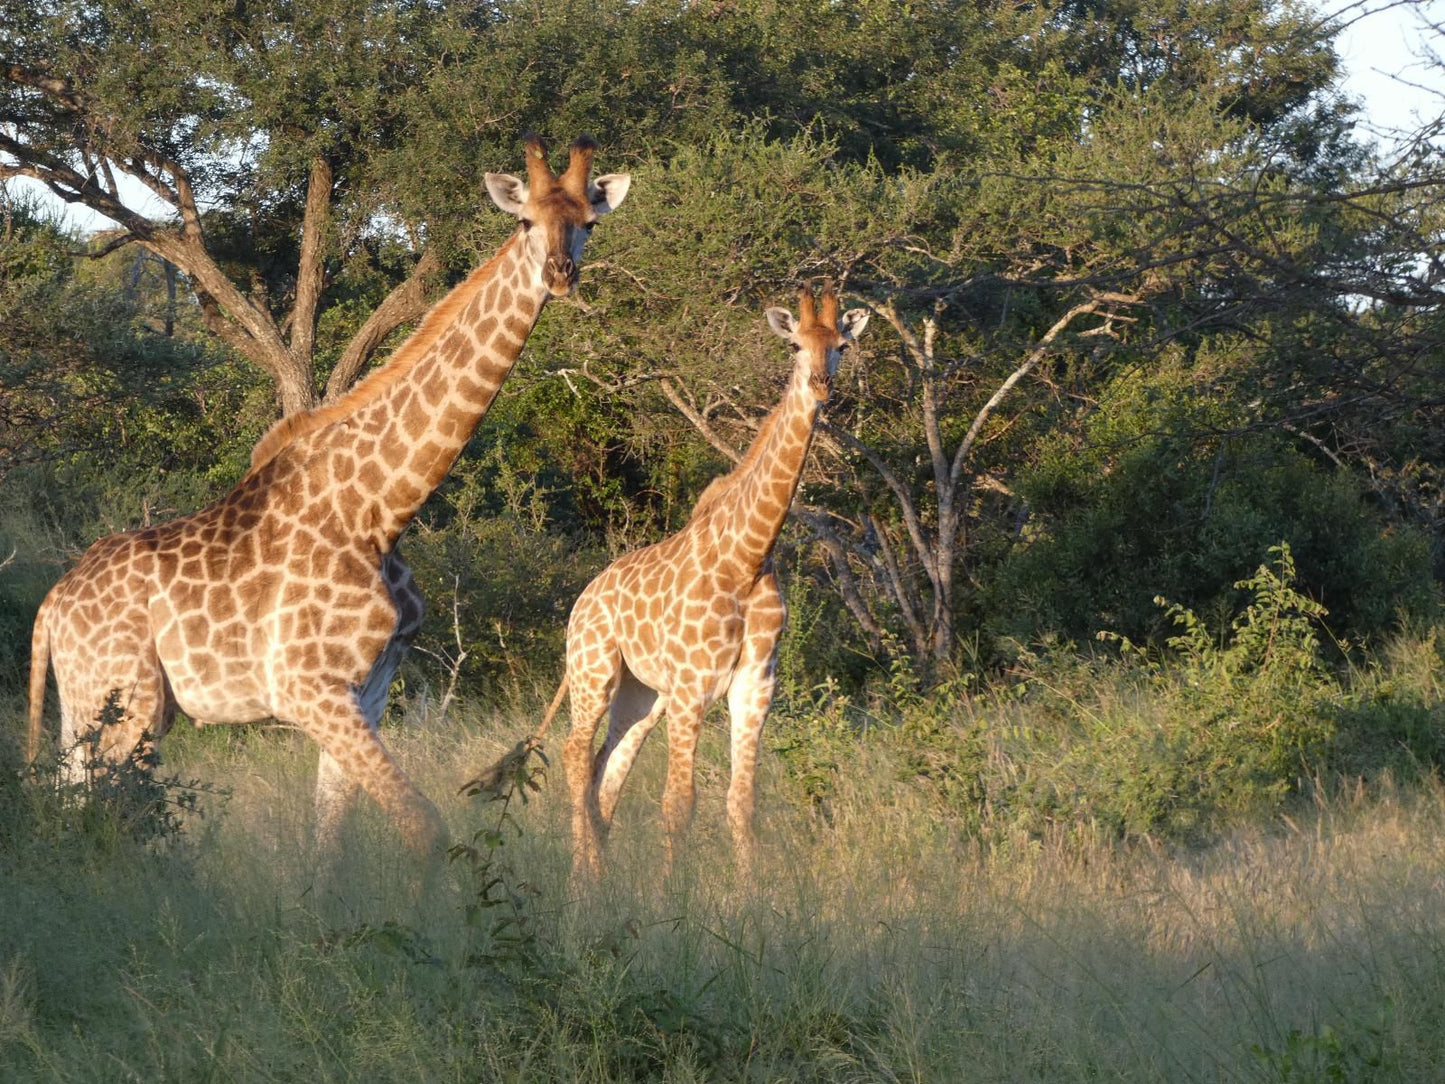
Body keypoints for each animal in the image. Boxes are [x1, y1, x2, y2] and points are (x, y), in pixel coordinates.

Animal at [26, 135, 627, 861]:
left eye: (588, 223)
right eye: (525, 223)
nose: (561, 274)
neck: (381, 511)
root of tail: (52, 606)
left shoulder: (368, 689)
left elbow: (329, 839)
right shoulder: (306, 687)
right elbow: (423, 827)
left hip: (97, 704)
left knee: (74, 800)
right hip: (126, 700)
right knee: (97, 810)